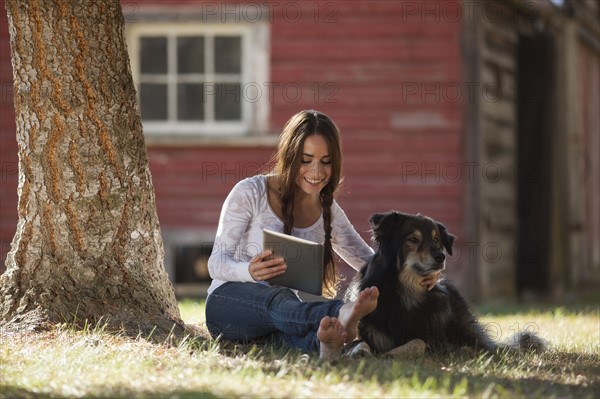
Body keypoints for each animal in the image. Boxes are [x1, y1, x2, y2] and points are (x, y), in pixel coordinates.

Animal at [344, 211, 548, 358]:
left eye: (437, 240)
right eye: (412, 239)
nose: (441, 256)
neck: (407, 293)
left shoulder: (436, 341)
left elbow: (419, 341)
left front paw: (394, 353)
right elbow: (359, 343)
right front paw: (359, 351)